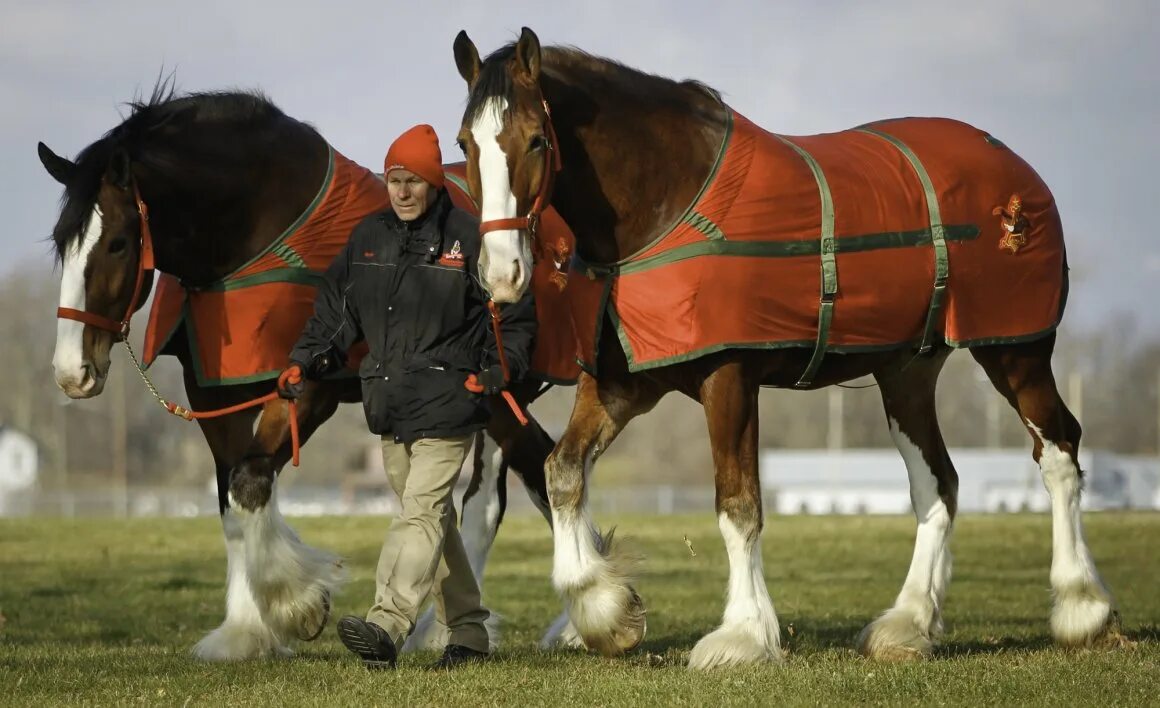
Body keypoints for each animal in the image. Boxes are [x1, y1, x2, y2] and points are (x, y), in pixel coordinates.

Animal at [38, 85, 559, 659]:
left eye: (118, 243)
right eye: (60, 242)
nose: (72, 372)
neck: (259, 233)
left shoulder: (309, 387)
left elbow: (249, 480)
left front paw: (296, 606)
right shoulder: (212, 392)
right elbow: (229, 494)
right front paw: (244, 630)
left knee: (540, 467)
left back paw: (579, 619)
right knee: (497, 490)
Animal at [452, 29, 1122, 668]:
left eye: (536, 141)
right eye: (465, 143)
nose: (502, 273)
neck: (670, 202)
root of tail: (1015, 169)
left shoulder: (729, 379)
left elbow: (737, 504)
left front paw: (743, 634)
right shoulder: (622, 384)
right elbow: (561, 472)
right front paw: (603, 609)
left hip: (1016, 352)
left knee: (1058, 451)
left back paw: (1081, 605)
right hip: (908, 371)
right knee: (938, 483)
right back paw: (908, 623)